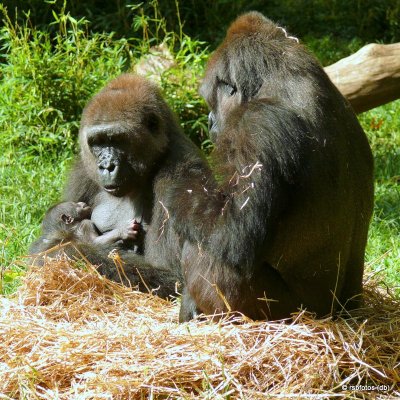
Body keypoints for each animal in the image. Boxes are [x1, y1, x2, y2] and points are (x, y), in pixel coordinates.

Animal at [166, 10, 376, 320]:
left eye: (213, 102)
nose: (210, 121)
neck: (284, 76)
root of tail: (337, 314)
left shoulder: (256, 125)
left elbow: (231, 234)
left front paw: (180, 191)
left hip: (287, 312)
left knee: (207, 248)